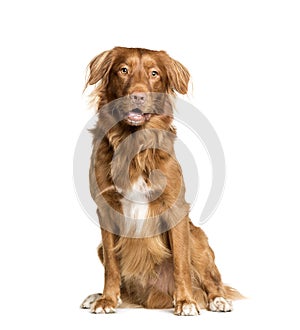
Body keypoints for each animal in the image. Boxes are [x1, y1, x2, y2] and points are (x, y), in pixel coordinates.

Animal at [79, 47, 241, 316]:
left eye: (154, 73)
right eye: (123, 70)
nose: (138, 96)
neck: (133, 143)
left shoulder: (175, 208)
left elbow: (181, 264)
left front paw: (185, 301)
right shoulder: (106, 209)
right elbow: (112, 266)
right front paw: (107, 300)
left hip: (197, 236)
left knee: (211, 280)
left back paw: (216, 300)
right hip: (101, 247)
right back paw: (99, 296)